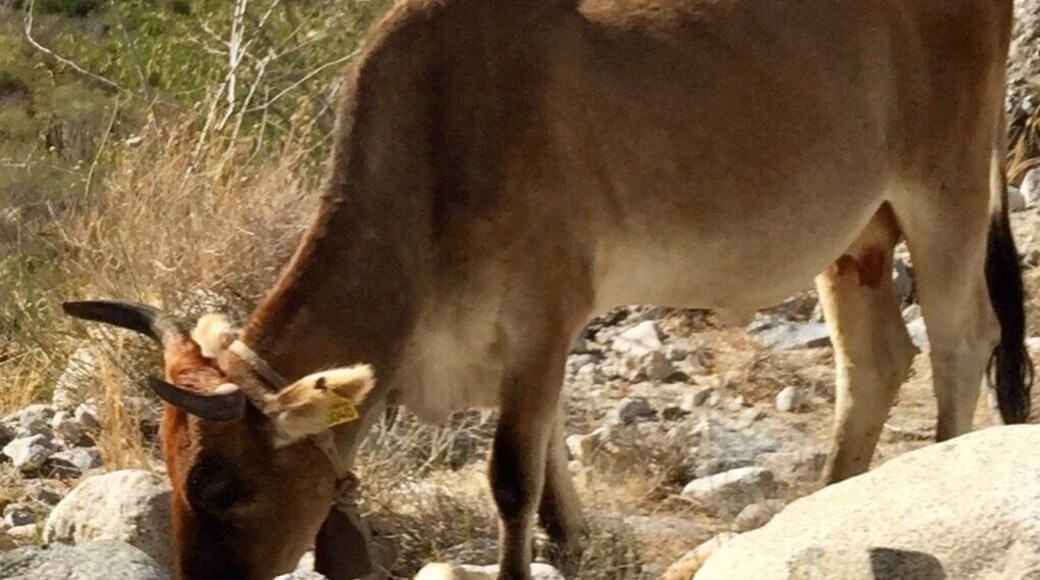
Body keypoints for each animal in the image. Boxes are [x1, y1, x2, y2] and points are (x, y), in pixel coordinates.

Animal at [63, 0, 1032, 578]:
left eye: (222, 487)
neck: (436, 140)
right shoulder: (535, 335)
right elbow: (553, 455)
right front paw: (575, 544)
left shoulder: (542, 312)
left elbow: (511, 475)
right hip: (858, 232)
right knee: (876, 362)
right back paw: (831, 500)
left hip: (945, 185)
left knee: (961, 339)